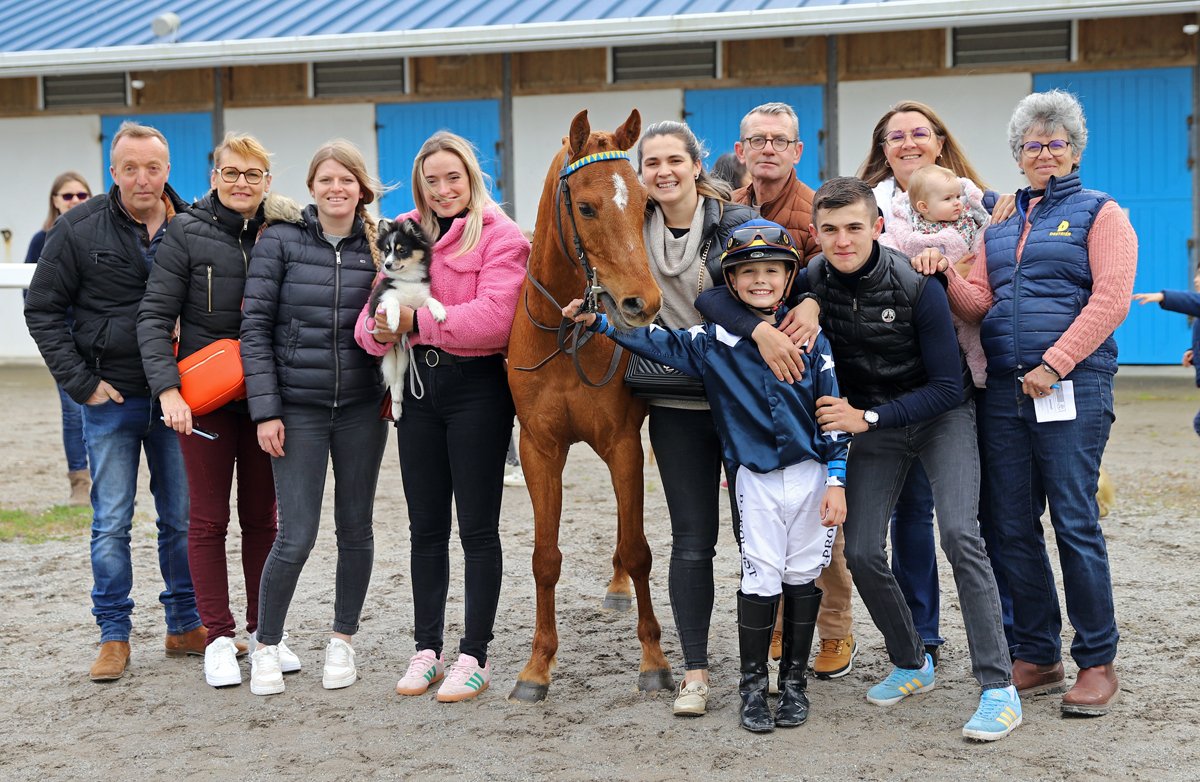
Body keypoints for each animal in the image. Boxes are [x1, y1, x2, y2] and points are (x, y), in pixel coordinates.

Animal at [368, 218, 446, 416]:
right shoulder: (381, 299)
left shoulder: (420, 300)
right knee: (393, 384)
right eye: (386, 251)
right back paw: (396, 410)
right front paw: (394, 320)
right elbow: (393, 302)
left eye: (401, 250)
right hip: (389, 359)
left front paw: (439, 311)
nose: (387, 265)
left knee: (399, 383)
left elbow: (430, 300)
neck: (407, 279)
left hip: (404, 357)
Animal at [506, 108, 673, 703]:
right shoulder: (539, 450)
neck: (567, 336)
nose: (641, 303)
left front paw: (654, 661)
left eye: (646, 202)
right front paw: (536, 667)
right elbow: (545, 558)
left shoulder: (622, 443)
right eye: (585, 206)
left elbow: (642, 549)